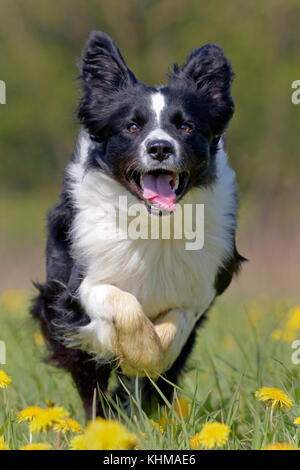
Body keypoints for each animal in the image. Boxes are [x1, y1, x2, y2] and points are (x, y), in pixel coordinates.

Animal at [31, 31, 245, 416]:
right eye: (132, 126)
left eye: (185, 126)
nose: (159, 148)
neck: (152, 224)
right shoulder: (78, 286)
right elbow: (120, 304)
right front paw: (137, 353)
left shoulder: (198, 288)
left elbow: (175, 330)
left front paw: (149, 359)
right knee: (92, 384)